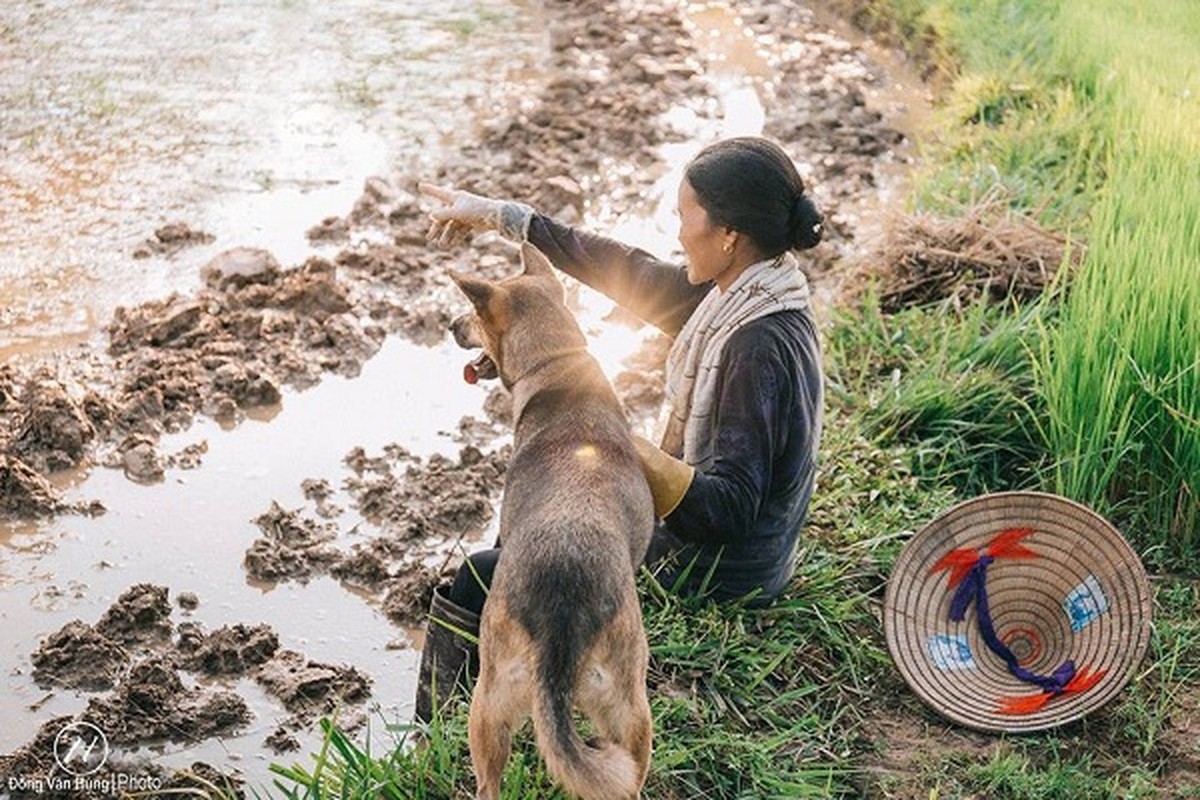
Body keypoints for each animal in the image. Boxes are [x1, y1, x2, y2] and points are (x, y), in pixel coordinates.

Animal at [451, 244, 657, 800]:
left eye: (473, 315)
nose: (452, 325)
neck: (558, 364)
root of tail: (563, 610)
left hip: (488, 701)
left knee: (489, 785)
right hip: (628, 712)